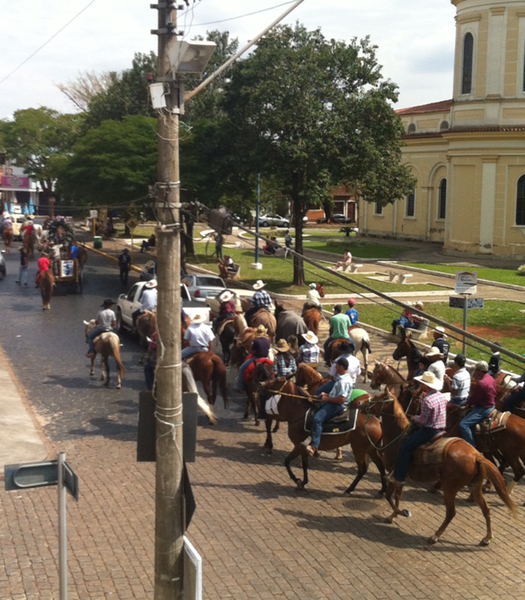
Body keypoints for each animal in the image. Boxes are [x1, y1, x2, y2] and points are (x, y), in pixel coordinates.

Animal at [256, 372, 386, 494]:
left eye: (278, 379)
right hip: (370, 449)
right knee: (380, 465)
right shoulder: (303, 447)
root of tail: (377, 421)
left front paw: (297, 480)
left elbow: (287, 461)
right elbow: (304, 463)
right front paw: (303, 482)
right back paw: (382, 490)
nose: (260, 384)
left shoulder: (298, 444)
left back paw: (349, 489)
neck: (300, 413)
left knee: (363, 468)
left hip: (359, 450)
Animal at [360, 390, 516, 544]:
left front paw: (402, 512)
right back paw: (487, 537)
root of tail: (477, 455)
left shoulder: (394, 474)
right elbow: (398, 497)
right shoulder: (400, 476)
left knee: (451, 512)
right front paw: (392, 516)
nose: (361, 403)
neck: (397, 436)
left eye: (378, 398)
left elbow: (389, 497)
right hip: (474, 487)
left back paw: (435, 536)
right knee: (486, 509)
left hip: (450, 488)